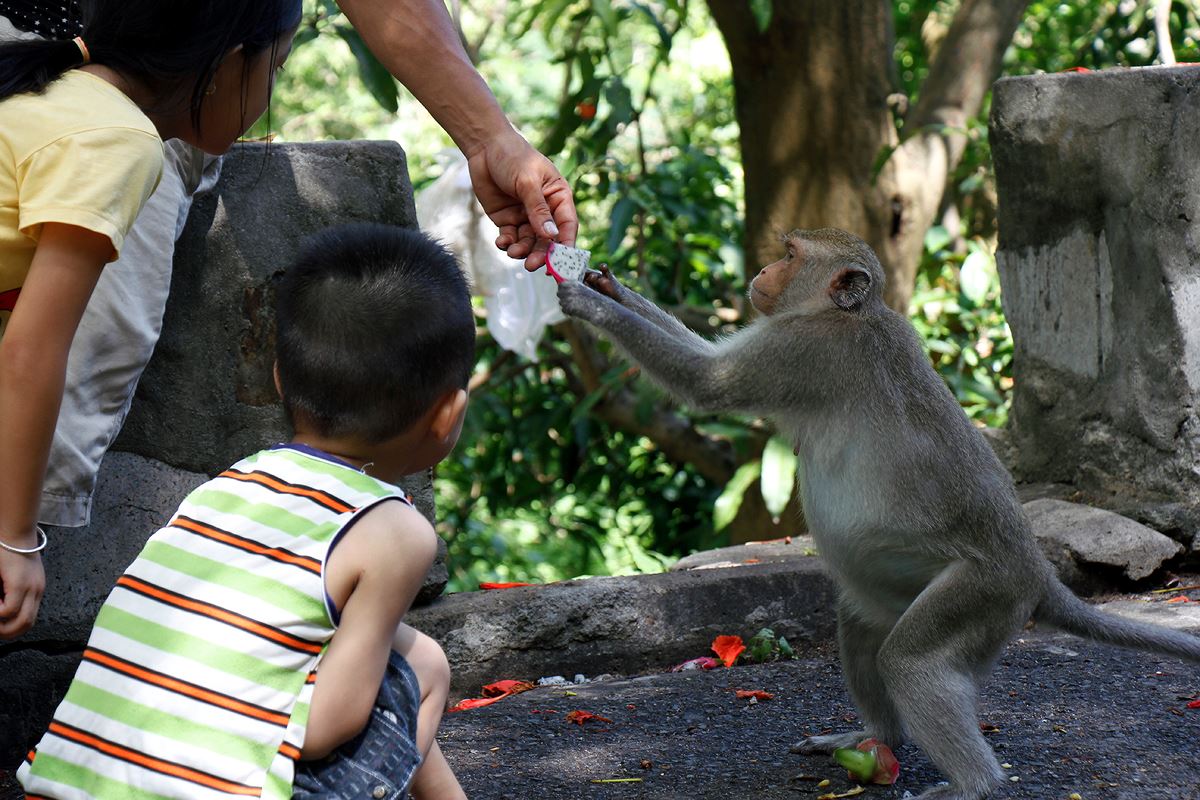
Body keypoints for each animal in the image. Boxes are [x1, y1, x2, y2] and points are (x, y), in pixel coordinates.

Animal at [556, 226, 1200, 800]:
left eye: (790, 255)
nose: (762, 271)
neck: (849, 314)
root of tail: (1037, 572)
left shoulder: (805, 347)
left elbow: (705, 379)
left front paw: (590, 304)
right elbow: (704, 358)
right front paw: (608, 284)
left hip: (984, 593)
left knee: (909, 659)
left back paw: (971, 785)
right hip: (902, 584)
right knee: (862, 626)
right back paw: (876, 736)